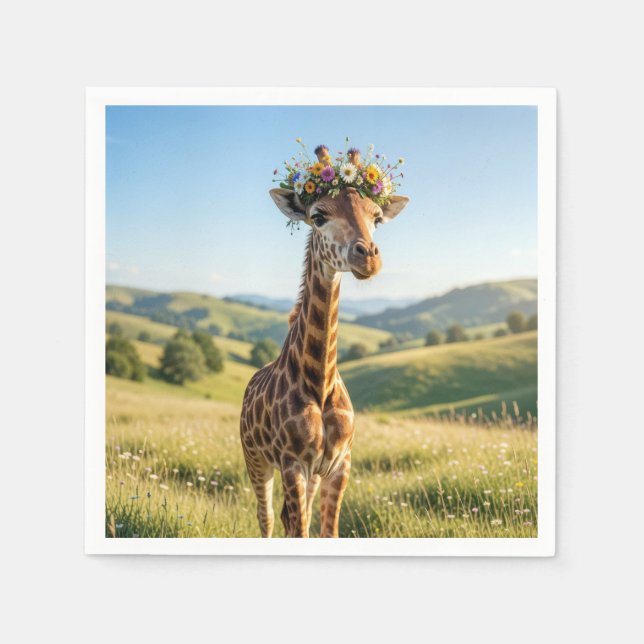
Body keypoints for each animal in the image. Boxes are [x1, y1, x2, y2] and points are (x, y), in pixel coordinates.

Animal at [240, 186, 409, 537]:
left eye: (377, 218)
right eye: (318, 216)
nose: (368, 257)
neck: (320, 381)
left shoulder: (338, 464)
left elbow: (327, 531)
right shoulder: (292, 464)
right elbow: (299, 530)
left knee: (286, 518)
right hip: (255, 459)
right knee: (267, 518)